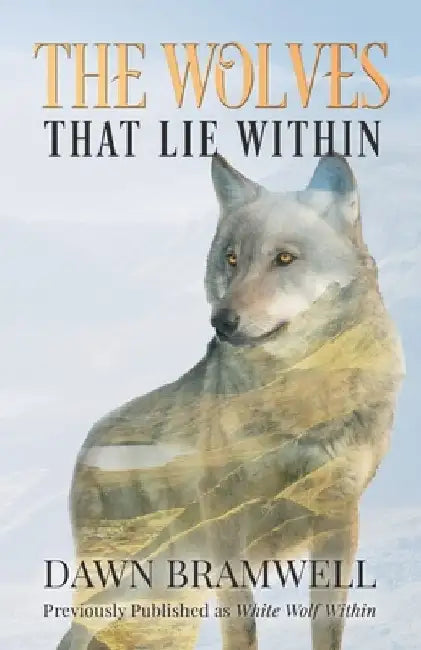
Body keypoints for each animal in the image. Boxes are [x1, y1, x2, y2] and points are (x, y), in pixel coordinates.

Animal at [58, 153, 404, 650]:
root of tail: (88, 441)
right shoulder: (226, 534)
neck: (298, 404)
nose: (221, 321)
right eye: (232, 258)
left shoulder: (338, 521)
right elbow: (242, 628)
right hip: (122, 590)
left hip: (170, 604)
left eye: (284, 258)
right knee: (72, 634)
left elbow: (326, 626)